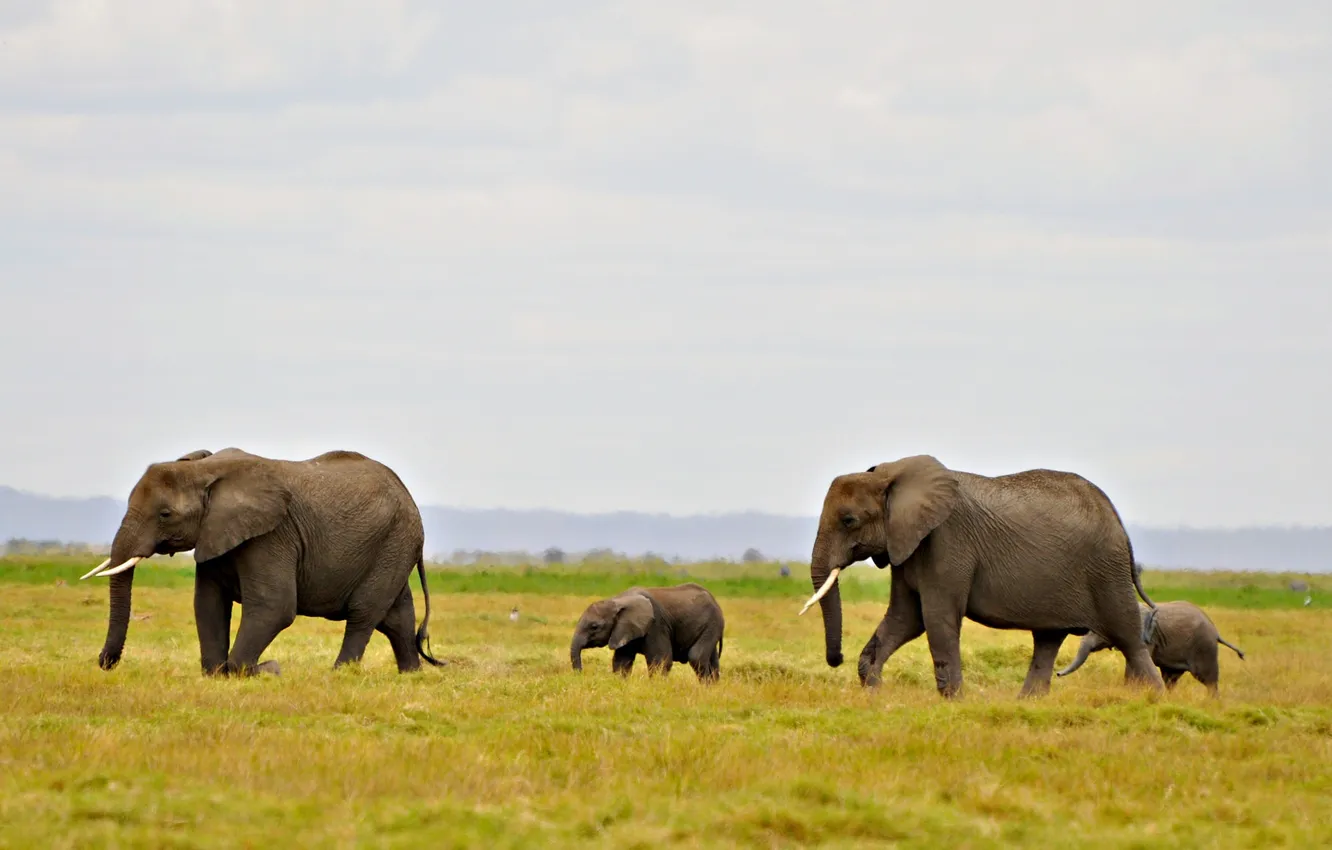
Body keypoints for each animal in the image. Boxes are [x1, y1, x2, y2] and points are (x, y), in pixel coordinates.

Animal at [81, 447, 445, 676]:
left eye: (165, 514)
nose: (105, 663)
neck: (205, 469)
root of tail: (409, 497)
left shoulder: (271, 535)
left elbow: (274, 607)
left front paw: (262, 669)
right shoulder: (215, 533)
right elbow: (208, 603)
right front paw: (216, 673)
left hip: (394, 541)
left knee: (363, 614)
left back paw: (339, 674)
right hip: (393, 546)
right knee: (396, 615)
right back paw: (410, 674)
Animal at [569, 583, 724, 682]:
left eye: (594, 627)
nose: (581, 675)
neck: (618, 600)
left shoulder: (656, 625)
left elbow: (660, 660)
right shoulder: (625, 629)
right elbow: (621, 661)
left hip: (713, 623)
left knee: (696, 656)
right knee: (712, 659)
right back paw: (713, 688)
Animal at [800, 455, 1165, 699]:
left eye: (848, 520)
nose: (836, 659)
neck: (890, 475)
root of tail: (1117, 519)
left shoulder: (947, 540)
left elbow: (936, 617)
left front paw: (953, 702)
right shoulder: (907, 544)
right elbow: (905, 618)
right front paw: (873, 691)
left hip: (1107, 571)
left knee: (1128, 637)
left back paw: (1155, 699)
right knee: (1048, 640)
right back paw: (1027, 703)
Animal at [1056, 600, 1245, 694]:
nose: (1057, 674)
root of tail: (1216, 632)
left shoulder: (1145, 637)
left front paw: (1130, 691)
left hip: (1204, 646)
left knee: (1208, 679)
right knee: (1170, 677)